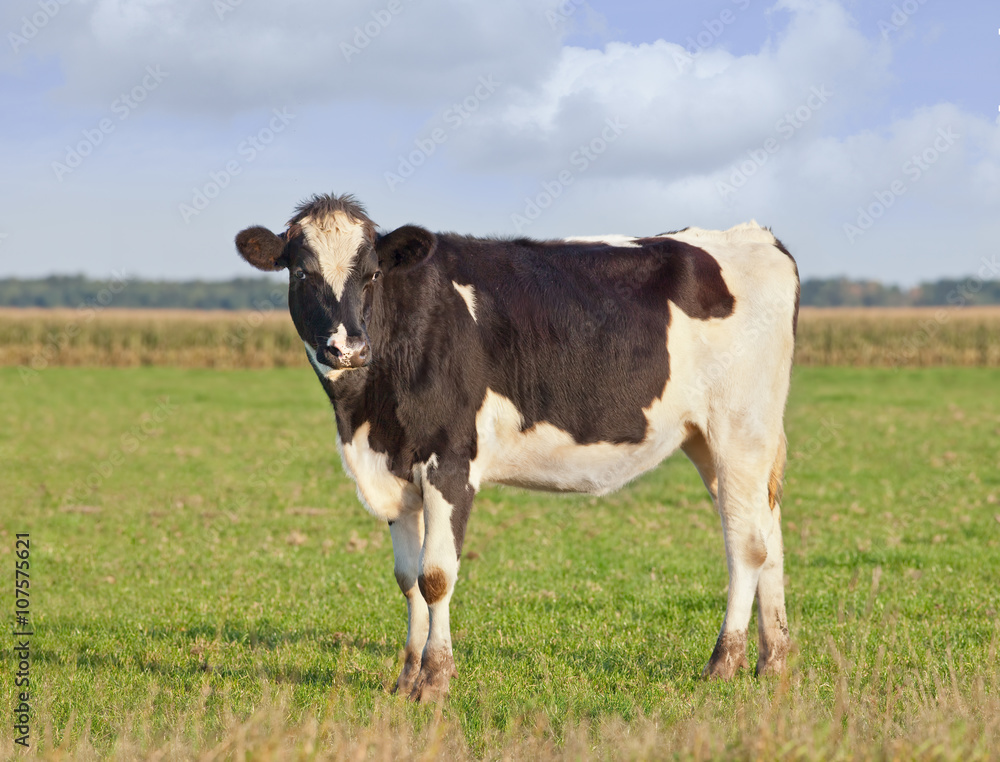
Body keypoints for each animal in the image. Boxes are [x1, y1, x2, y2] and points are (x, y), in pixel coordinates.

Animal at [232, 193, 796, 696]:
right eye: (301, 274)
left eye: (370, 274)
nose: (347, 347)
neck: (364, 416)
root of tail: (754, 236)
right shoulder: (394, 469)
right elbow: (408, 578)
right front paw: (406, 678)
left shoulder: (450, 461)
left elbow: (436, 576)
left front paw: (435, 681)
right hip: (714, 440)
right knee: (768, 532)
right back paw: (773, 660)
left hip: (740, 427)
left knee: (745, 544)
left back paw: (724, 663)